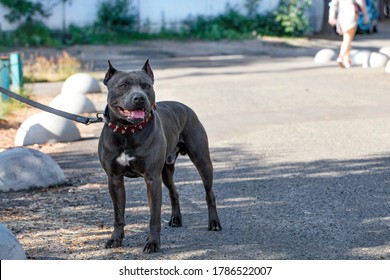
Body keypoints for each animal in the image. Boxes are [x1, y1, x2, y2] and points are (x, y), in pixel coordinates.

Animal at [97, 60, 222, 253]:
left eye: (146, 86)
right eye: (123, 85)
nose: (139, 98)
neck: (127, 132)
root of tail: (185, 107)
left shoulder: (152, 179)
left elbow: (154, 216)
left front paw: (153, 243)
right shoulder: (115, 179)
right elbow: (118, 214)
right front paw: (115, 239)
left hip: (202, 162)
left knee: (210, 194)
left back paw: (214, 222)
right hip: (166, 172)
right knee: (174, 192)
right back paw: (176, 219)